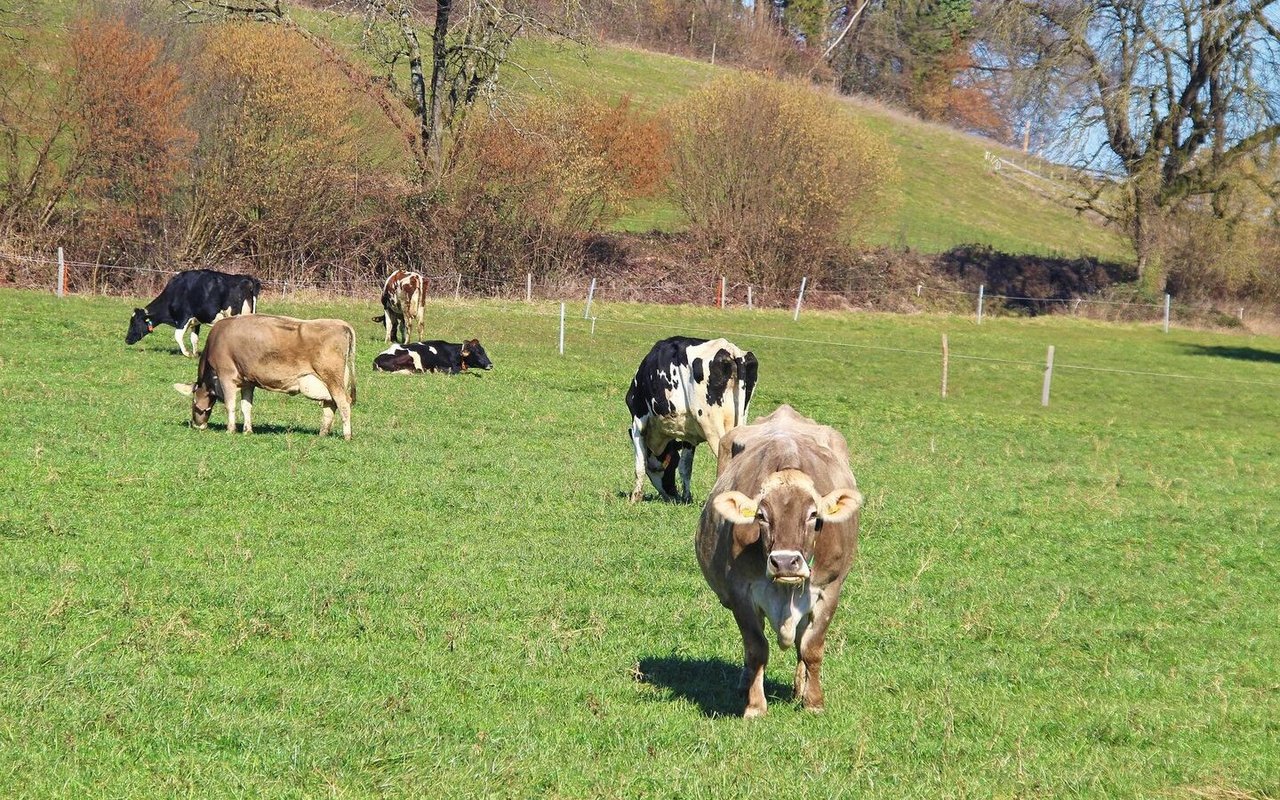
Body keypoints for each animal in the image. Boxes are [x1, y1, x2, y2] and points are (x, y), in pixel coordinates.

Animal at [124, 268, 259, 355]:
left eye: (134, 322)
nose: (126, 340)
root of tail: (246, 278)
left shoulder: (183, 317)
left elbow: (178, 336)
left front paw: (187, 353)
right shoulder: (196, 320)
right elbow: (194, 338)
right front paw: (195, 354)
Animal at [172, 313, 358, 440]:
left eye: (193, 403)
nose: (197, 424)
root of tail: (342, 324)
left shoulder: (226, 376)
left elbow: (230, 405)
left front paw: (230, 430)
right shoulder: (248, 381)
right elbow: (246, 406)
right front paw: (247, 430)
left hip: (332, 378)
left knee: (343, 403)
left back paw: (347, 435)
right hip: (334, 380)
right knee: (330, 404)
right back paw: (322, 433)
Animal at [622, 335, 752, 499]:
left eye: (669, 464)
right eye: (672, 462)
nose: (672, 494)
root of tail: (730, 349)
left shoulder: (638, 422)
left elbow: (640, 465)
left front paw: (635, 498)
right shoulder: (690, 434)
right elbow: (686, 468)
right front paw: (686, 498)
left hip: (713, 428)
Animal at [696, 404, 865, 716]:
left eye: (813, 514)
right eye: (761, 515)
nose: (785, 563)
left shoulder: (829, 590)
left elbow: (811, 647)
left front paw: (813, 701)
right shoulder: (741, 592)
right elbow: (755, 648)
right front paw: (754, 705)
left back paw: (800, 687)